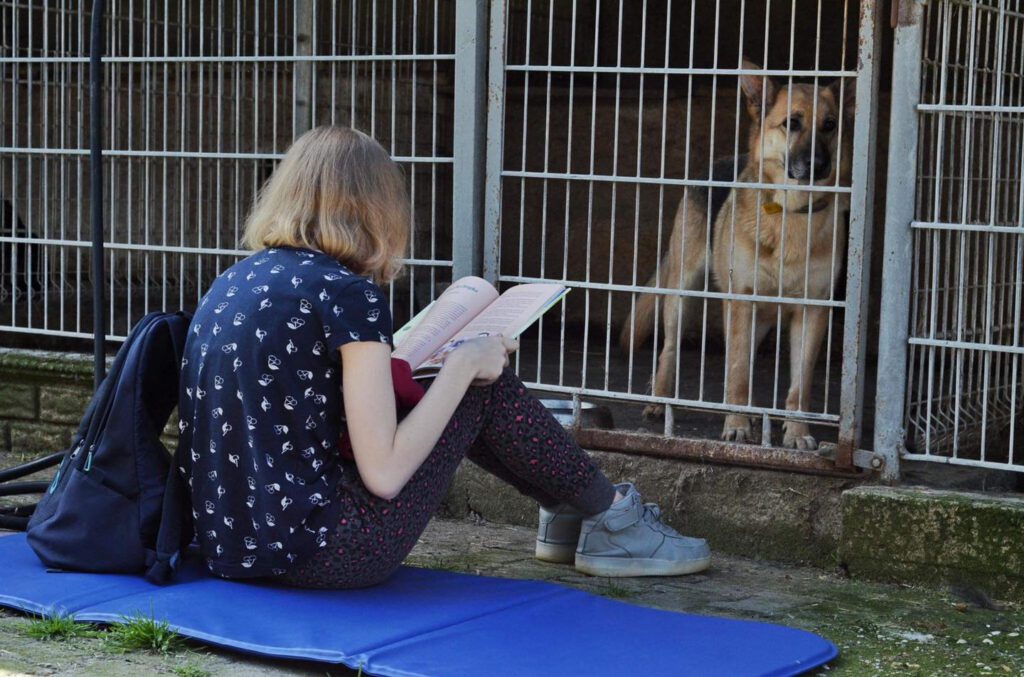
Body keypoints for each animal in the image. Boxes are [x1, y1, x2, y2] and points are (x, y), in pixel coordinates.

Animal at [622, 59, 856, 448]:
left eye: (830, 125)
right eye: (791, 123)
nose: (818, 164)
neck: (790, 214)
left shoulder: (812, 310)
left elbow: (800, 385)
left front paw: (796, 431)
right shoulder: (742, 300)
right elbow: (737, 373)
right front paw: (736, 425)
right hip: (685, 294)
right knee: (670, 349)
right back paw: (660, 400)